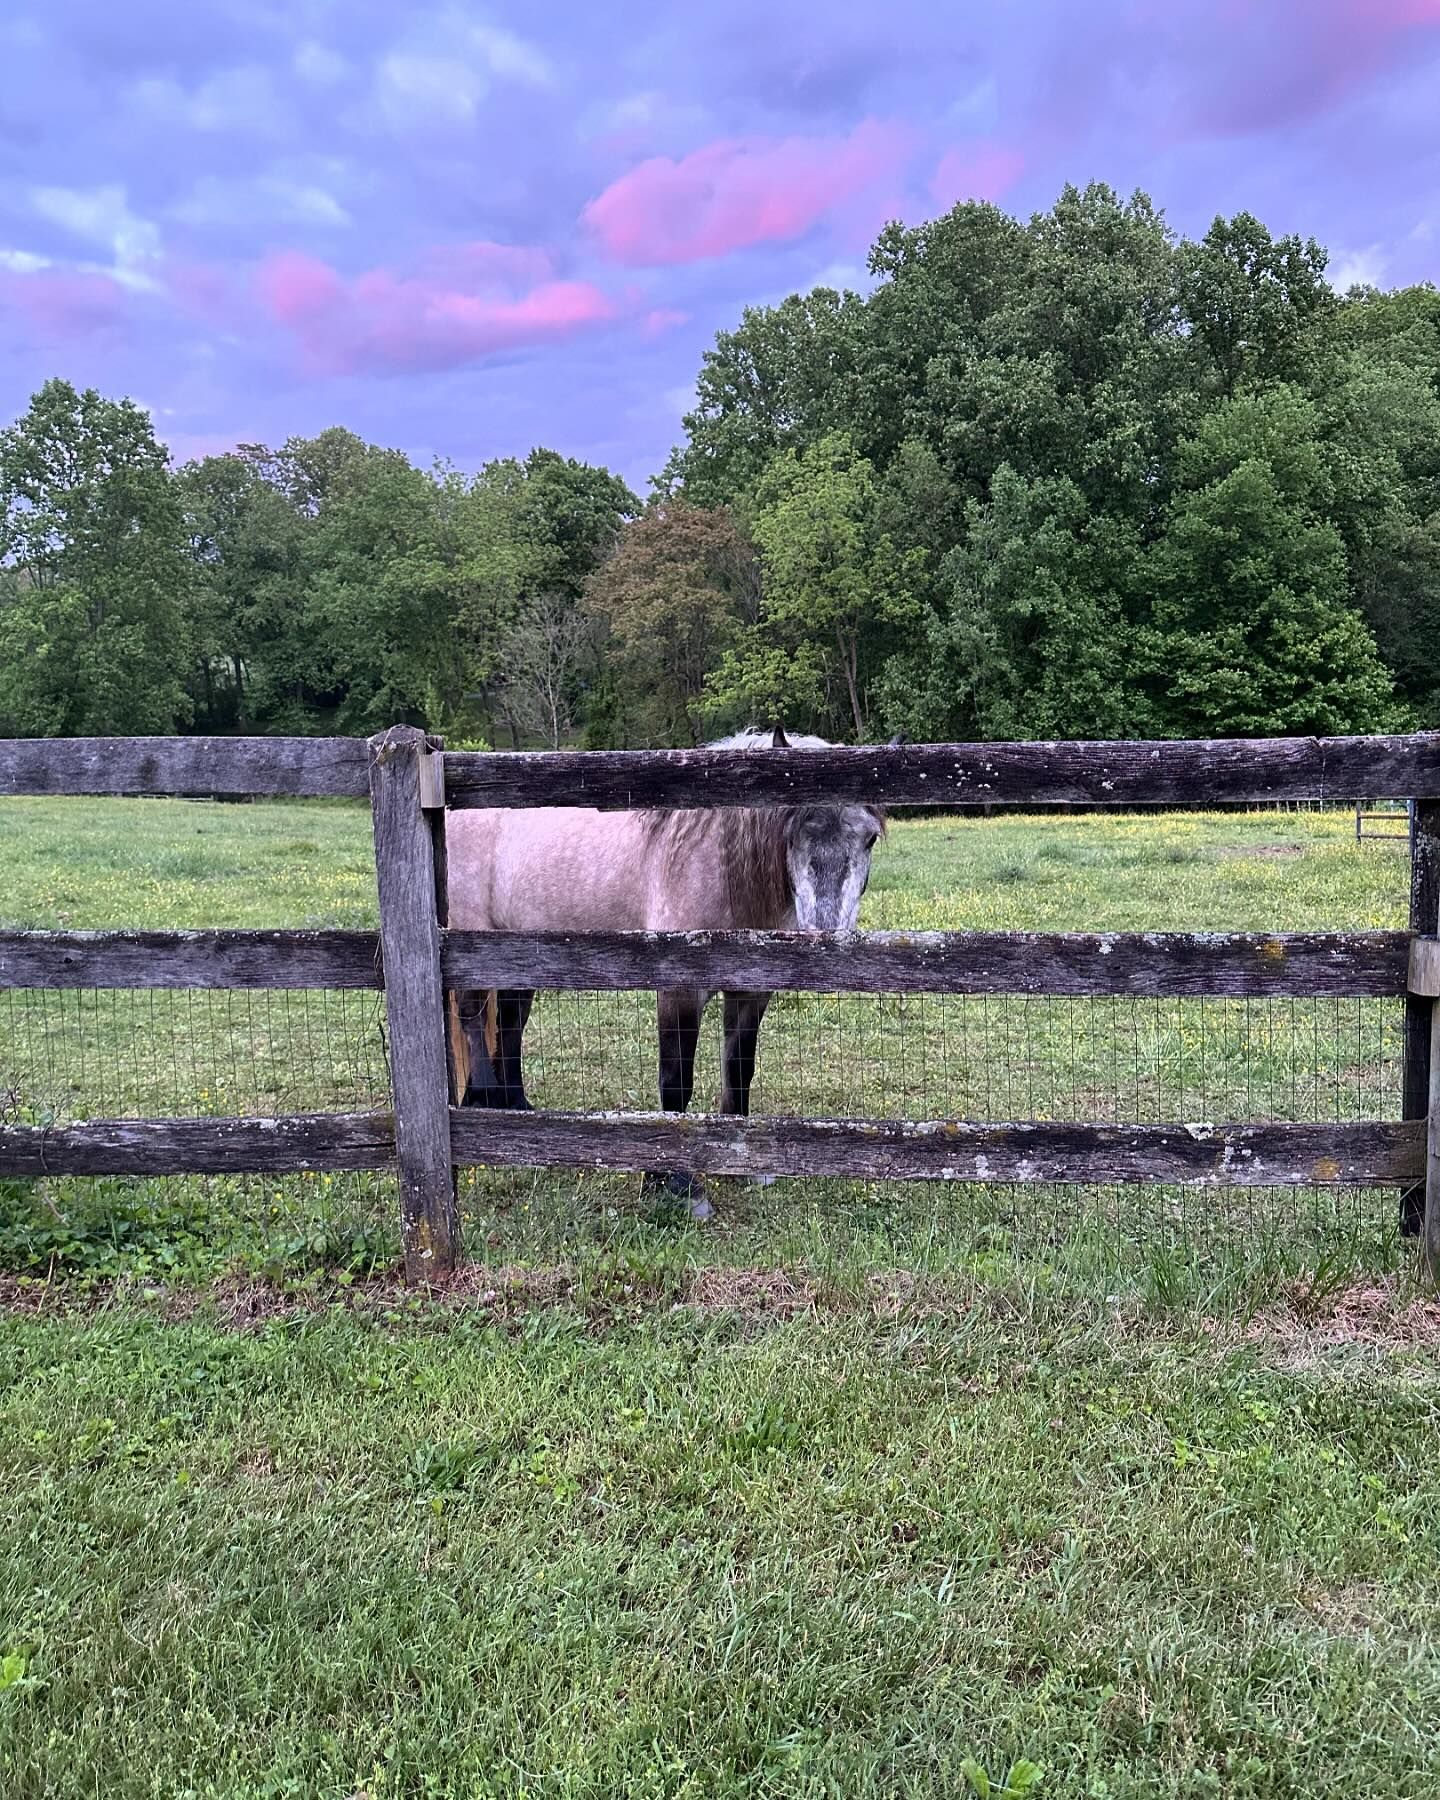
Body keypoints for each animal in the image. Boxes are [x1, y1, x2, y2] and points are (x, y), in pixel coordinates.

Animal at [444, 726, 889, 1215]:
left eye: (869, 839)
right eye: (791, 832)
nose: (825, 934)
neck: (716, 864)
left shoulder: (749, 992)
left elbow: (739, 1067)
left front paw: (741, 1163)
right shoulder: (678, 989)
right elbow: (676, 1081)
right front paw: (677, 1183)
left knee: (509, 1025)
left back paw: (516, 1110)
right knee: (472, 1018)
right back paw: (487, 1101)